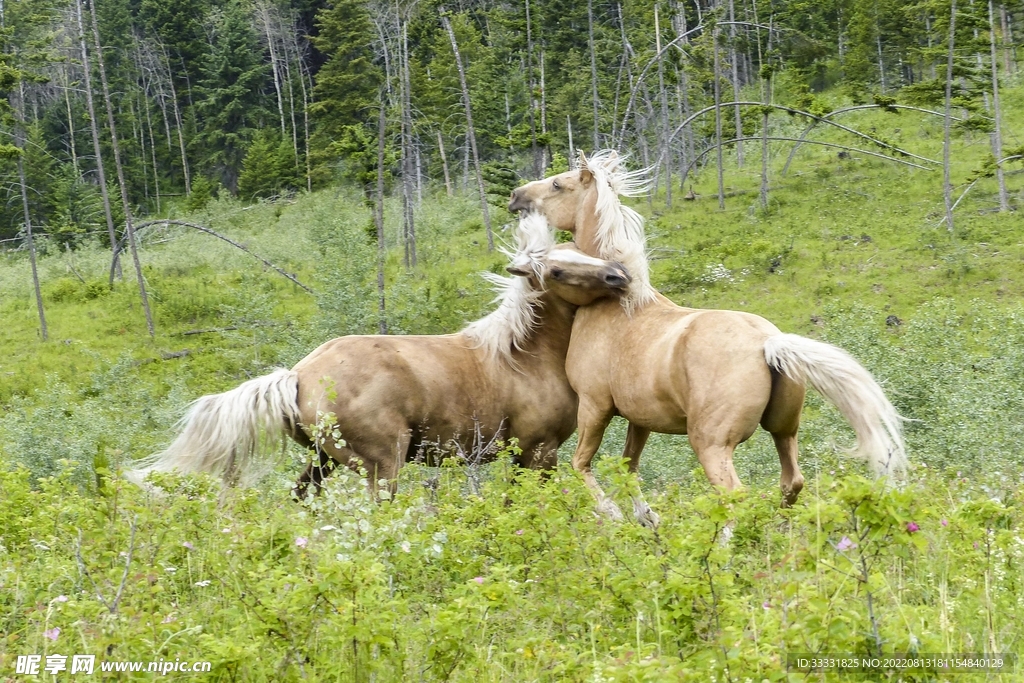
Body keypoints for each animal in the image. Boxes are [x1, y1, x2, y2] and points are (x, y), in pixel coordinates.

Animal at [125, 213, 632, 497]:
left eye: (578, 249)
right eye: (560, 270)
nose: (619, 275)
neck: (523, 358)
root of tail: (297, 376)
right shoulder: (537, 453)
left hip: (325, 461)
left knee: (302, 501)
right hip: (382, 465)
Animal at [509, 150, 906, 526]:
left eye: (558, 183)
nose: (516, 197)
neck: (617, 305)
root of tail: (768, 344)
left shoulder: (594, 406)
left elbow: (582, 465)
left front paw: (613, 514)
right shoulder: (640, 420)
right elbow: (628, 469)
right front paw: (647, 518)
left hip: (711, 443)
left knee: (734, 495)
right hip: (784, 431)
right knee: (791, 482)